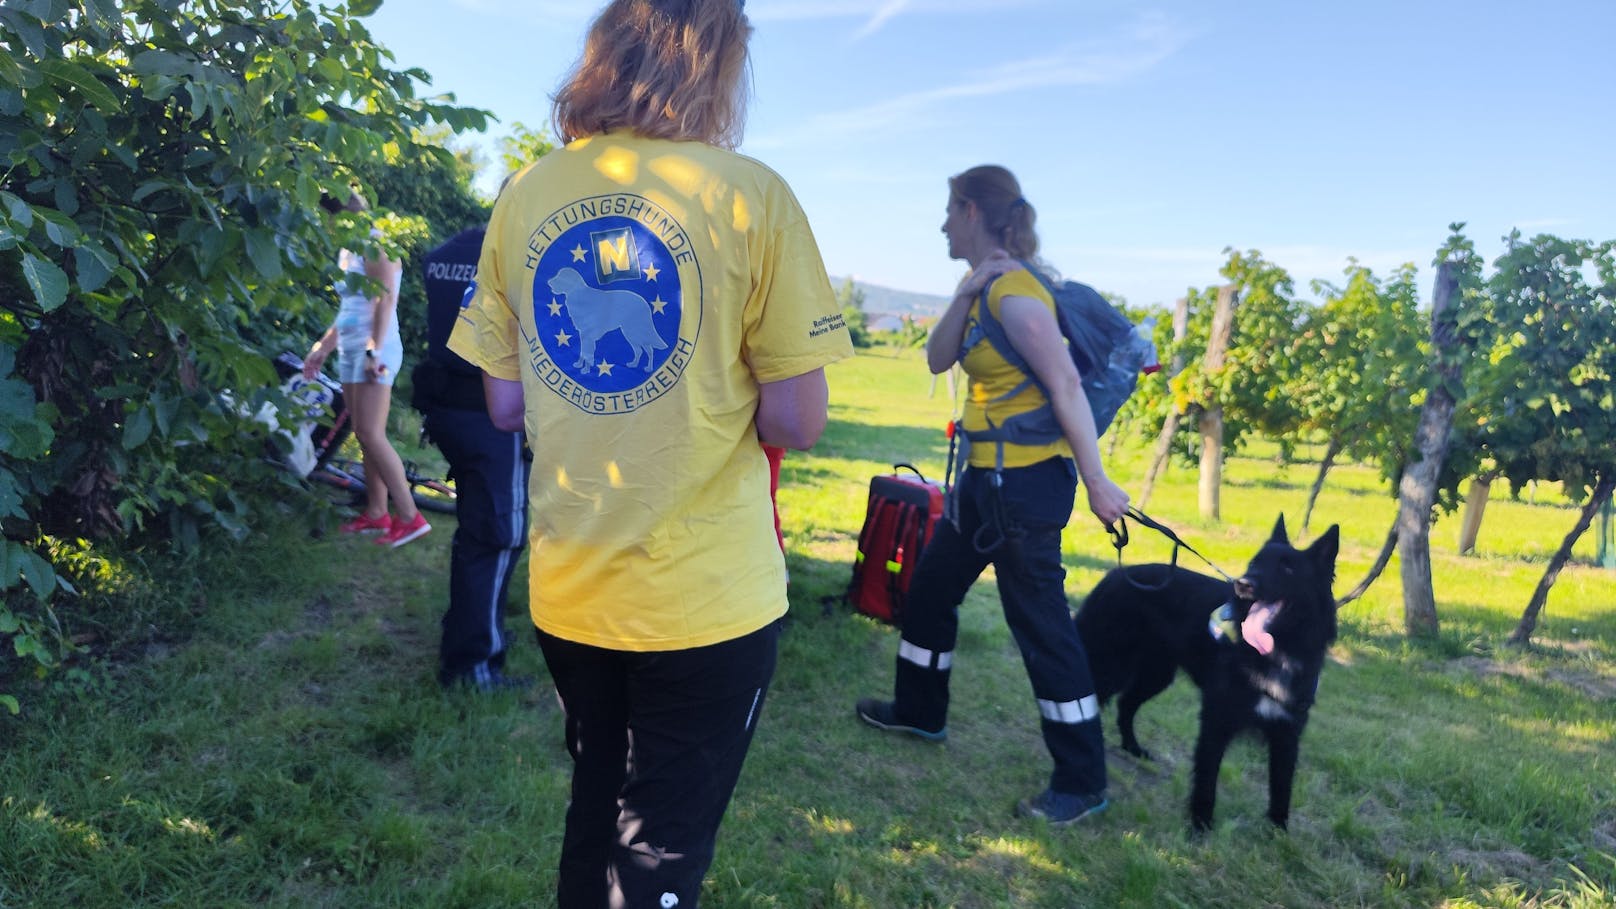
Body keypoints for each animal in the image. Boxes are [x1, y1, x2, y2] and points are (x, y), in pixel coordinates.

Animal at [1079, 517, 1344, 828]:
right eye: (1254, 563)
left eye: (1288, 568)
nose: (1243, 584)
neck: (1277, 652)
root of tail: (1113, 576)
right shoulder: (1217, 720)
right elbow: (1207, 780)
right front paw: (1200, 825)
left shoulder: (1287, 732)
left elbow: (1282, 787)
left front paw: (1278, 831)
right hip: (1111, 667)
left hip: (1156, 675)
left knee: (1125, 704)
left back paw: (1134, 749)